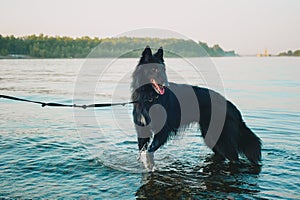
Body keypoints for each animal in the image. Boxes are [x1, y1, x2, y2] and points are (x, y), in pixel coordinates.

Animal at [130, 45, 262, 164]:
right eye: (154, 70)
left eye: (163, 70)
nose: (165, 83)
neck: (149, 97)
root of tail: (231, 106)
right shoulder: (142, 130)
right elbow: (143, 149)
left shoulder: (162, 131)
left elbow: (150, 149)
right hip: (211, 137)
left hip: (221, 138)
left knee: (234, 157)